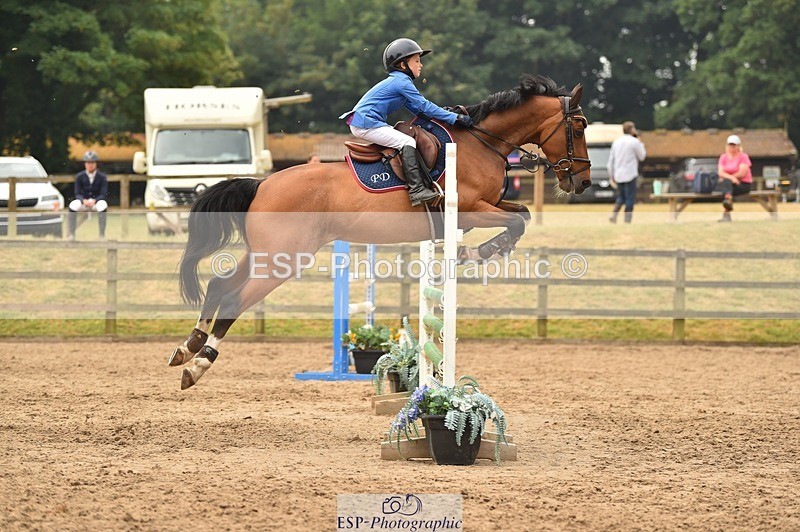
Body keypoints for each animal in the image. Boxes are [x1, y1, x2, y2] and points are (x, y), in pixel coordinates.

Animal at [170, 74, 591, 390]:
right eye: (580, 126)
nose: (583, 181)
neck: (482, 144)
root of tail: (262, 185)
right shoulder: (470, 210)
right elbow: (517, 221)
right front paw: (477, 252)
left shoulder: (483, 210)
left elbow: (522, 215)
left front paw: (478, 251)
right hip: (282, 260)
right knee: (233, 299)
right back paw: (198, 364)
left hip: (263, 254)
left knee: (219, 285)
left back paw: (188, 347)